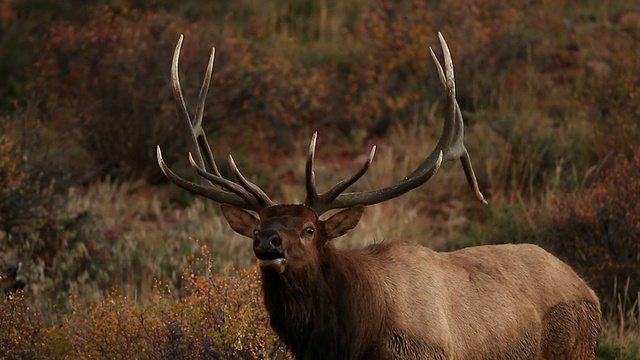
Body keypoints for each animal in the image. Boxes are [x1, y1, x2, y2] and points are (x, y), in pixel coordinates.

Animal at [158, 33, 604, 358]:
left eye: (308, 229)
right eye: (259, 227)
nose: (267, 241)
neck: (350, 340)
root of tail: (590, 292)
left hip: (574, 348)